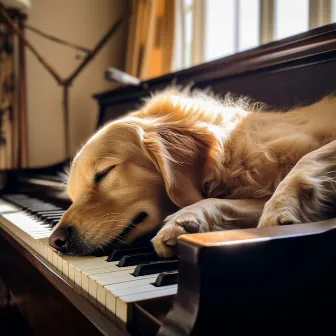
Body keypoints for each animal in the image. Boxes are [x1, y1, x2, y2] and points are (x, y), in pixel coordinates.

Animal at [48, 90, 334, 258]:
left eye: (103, 173)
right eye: (71, 196)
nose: (55, 240)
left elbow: (307, 160)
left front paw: (283, 207)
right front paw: (185, 220)